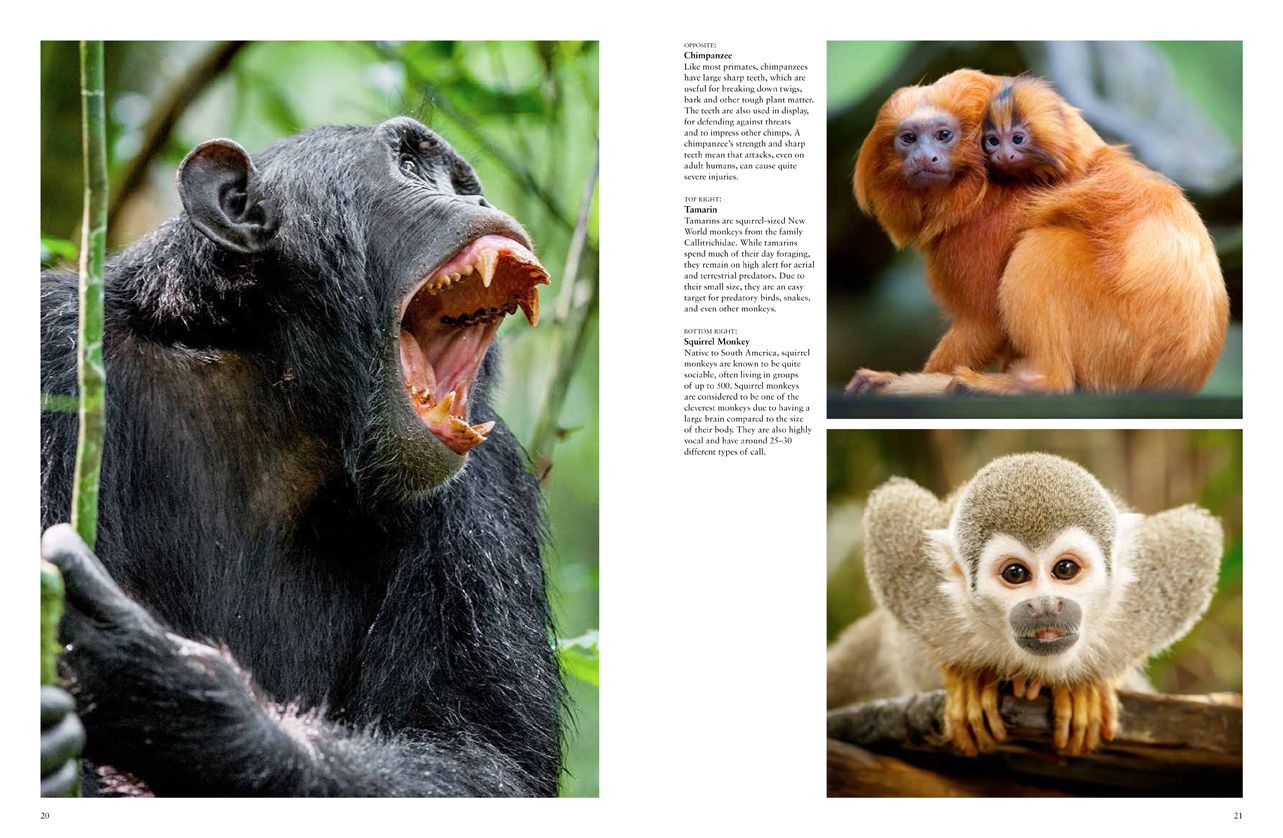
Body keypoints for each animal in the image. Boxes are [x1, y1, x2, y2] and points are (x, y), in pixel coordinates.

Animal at [826, 453, 1223, 756]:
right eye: (1015, 574)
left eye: (1065, 569)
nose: (1046, 605)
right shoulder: (919, 587)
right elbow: (890, 508)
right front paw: (965, 678)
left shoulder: (1148, 592)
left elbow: (1197, 537)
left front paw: (1090, 686)